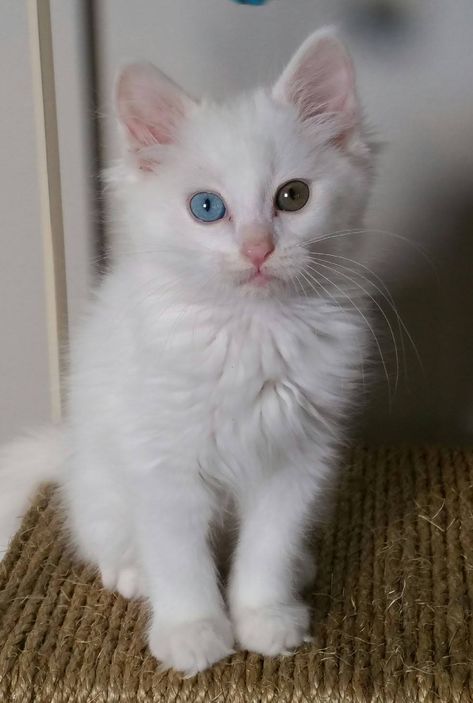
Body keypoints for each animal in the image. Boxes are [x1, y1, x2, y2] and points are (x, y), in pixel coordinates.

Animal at [0, 28, 376, 676]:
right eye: (207, 207)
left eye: (293, 196)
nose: (257, 249)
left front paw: (263, 618)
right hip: (102, 483)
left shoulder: (297, 458)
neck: (250, 332)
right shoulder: (162, 463)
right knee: (109, 539)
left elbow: (267, 548)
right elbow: (180, 560)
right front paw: (193, 633)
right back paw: (131, 573)